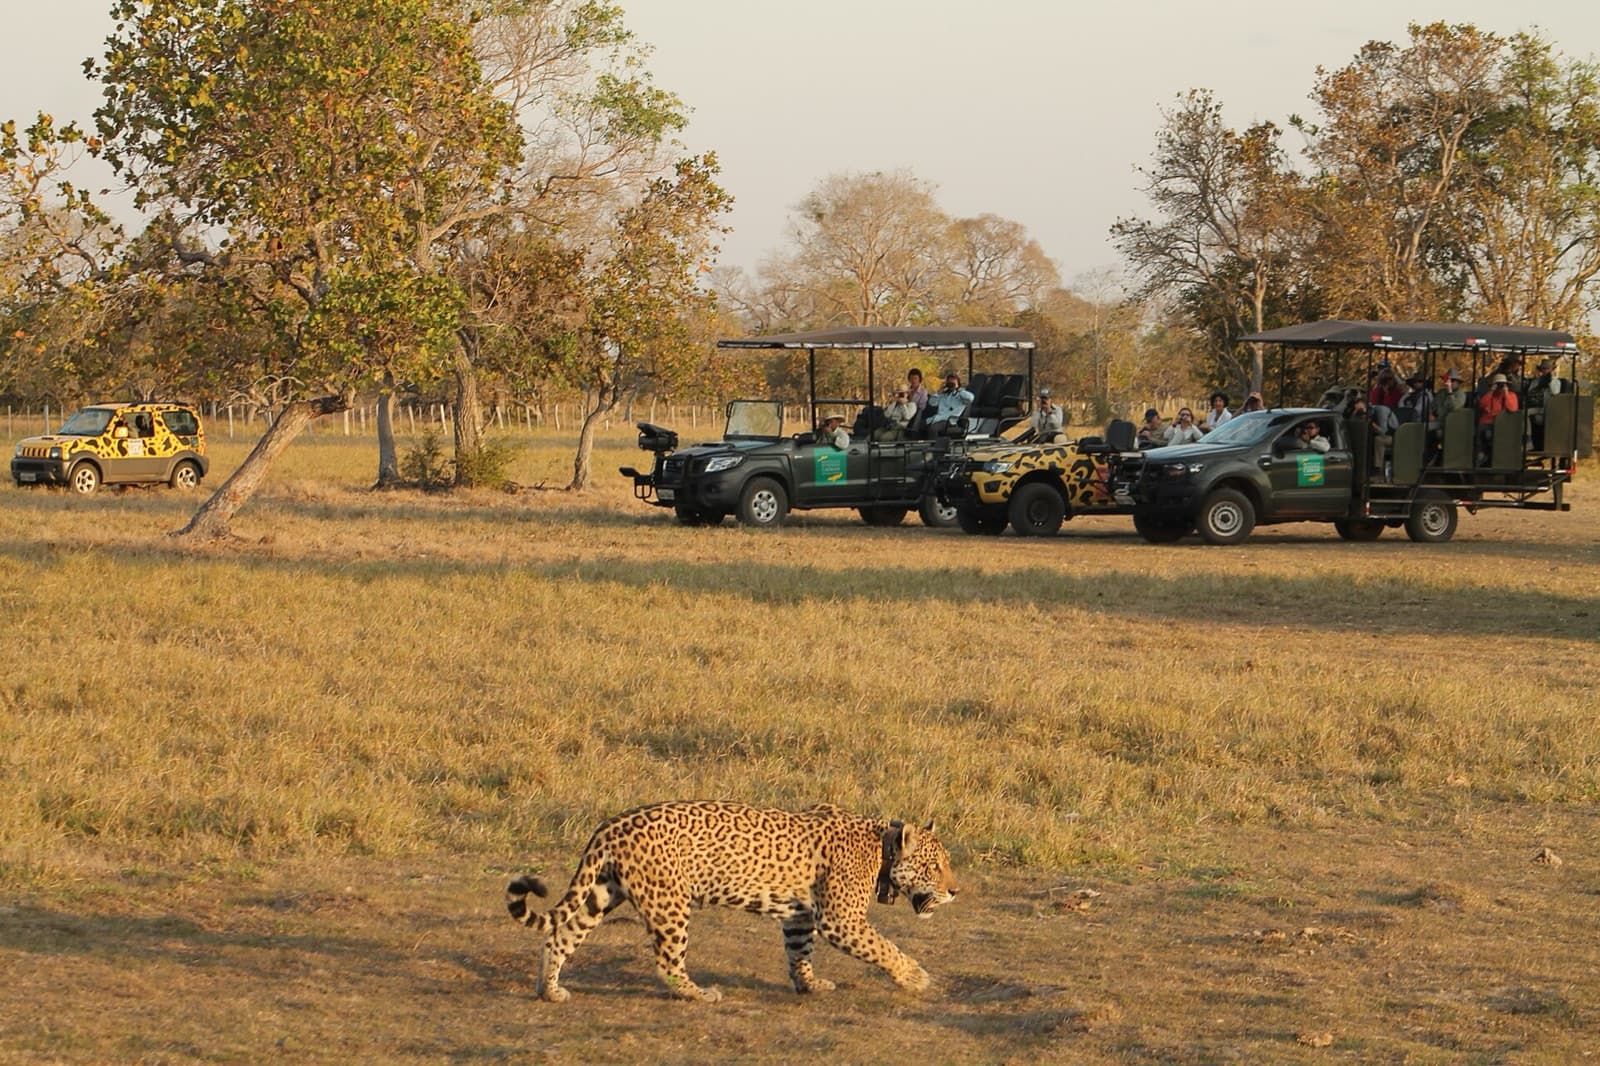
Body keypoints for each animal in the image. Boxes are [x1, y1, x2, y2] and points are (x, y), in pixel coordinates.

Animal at [505, 800, 957, 1004]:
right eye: (935, 867)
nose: (955, 891)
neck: (882, 850)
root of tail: (610, 824)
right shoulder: (841, 919)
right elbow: (885, 948)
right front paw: (915, 977)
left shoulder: (799, 916)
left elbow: (800, 953)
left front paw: (808, 985)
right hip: (670, 904)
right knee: (667, 963)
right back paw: (699, 994)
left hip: (602, 892)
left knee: (560, 936)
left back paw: (550, 990)